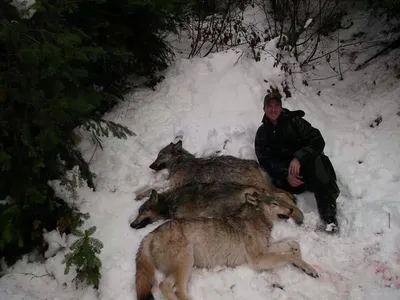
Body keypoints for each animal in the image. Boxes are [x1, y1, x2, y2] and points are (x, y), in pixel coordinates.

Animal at [134, 191, 318, 298]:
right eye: (274, 203)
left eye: (281, 200)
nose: (291, 210)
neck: (255, 220)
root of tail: (150, 234)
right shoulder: (257, 260)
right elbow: (288, 256)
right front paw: (300, 263)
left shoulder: (266, 248)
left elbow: (294, 244)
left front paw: (307, 268)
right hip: (186, 262)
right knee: (178, 290)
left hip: (184, 266)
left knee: (163, 285)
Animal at [136, 139, 296, 205]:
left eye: (160, 155)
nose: (150, 166)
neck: (179, 163)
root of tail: (256, 164)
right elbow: (154, 187)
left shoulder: (174, 186)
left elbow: (154, 189)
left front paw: (140, 195)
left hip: (264, 188)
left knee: (283, 194)